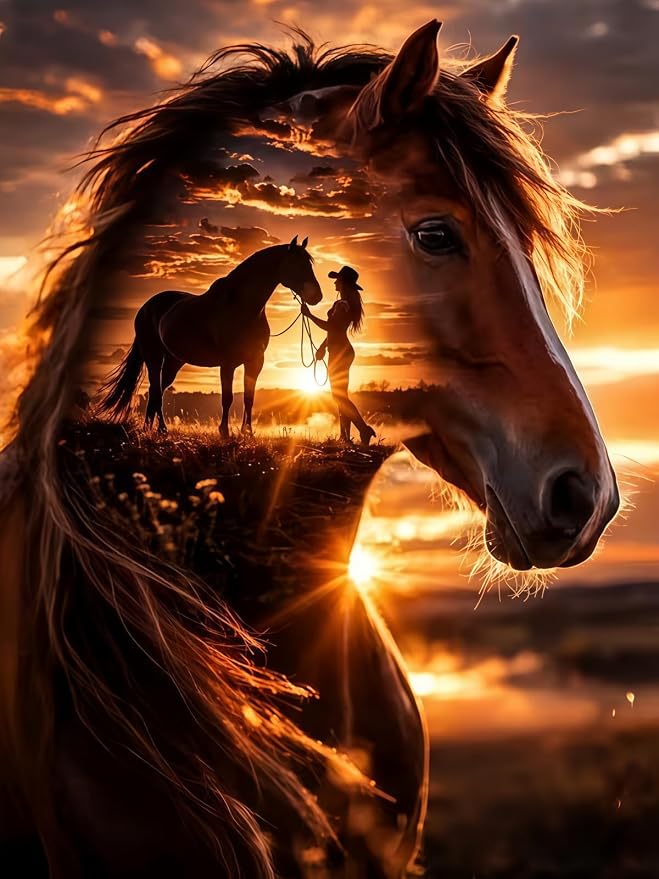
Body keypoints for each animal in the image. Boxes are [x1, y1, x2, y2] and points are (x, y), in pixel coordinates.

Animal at [97, 236, 322, 436]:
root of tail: (146, 308)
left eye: (309, 264)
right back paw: (161, 429)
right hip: (154, 357)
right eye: (297, 264)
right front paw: (224, 431)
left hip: (173, 361)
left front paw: (247, 432)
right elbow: (227, 397)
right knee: (155, 390)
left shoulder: (255, 361)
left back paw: (149, 428)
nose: (317, 296)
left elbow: (249, 397)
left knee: (158, 390)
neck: (242, 308)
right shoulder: (228, 363)